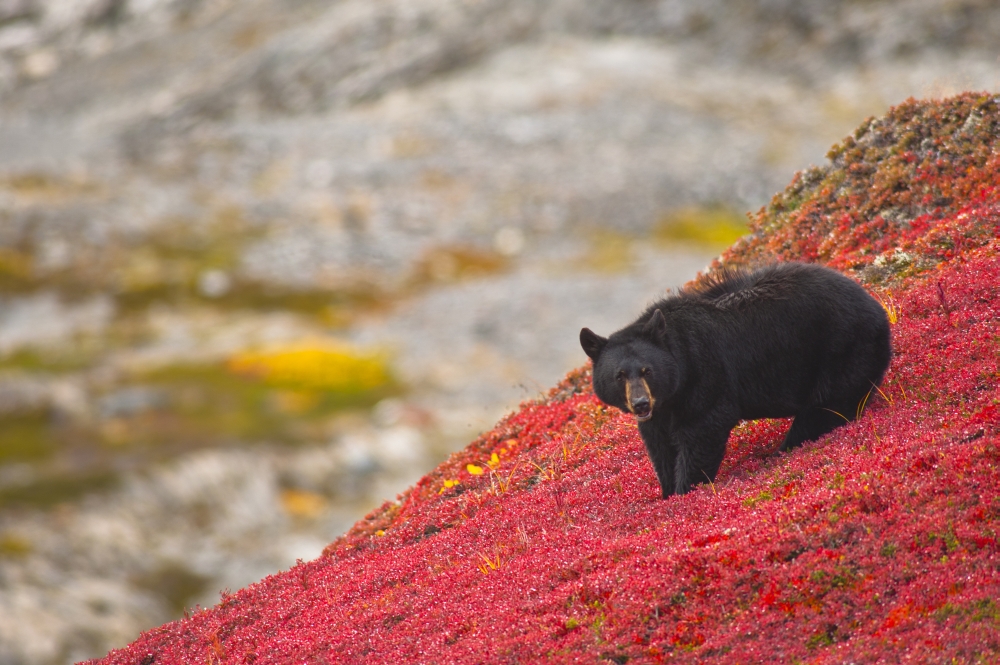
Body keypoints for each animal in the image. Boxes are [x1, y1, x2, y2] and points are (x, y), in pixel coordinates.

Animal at [580, 262, 892, 496]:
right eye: (619, 375)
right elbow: (660, 446)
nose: (641, 403)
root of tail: (877, 307)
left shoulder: (705, 375)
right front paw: (667, 491)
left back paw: (785, 449)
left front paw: (686, 489)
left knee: (825, 409)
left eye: (647, 370)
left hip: (842, 353)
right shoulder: (662, 409)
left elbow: (702, 431)